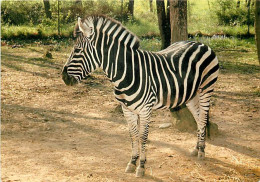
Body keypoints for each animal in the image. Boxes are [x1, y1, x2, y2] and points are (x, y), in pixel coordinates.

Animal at [62, 14, 218, 177]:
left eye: (77, 50)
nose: (63, 77)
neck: (127, 73)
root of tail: (200, 43)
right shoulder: (127, 109)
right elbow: (133, 135)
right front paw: (132, 162)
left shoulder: (145, 110)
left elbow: (143, 137)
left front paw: (141, 166)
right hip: (191, 96)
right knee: (199, 119)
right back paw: (196, 149)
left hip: (206, 89)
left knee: (203, 118)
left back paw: (202, 152)